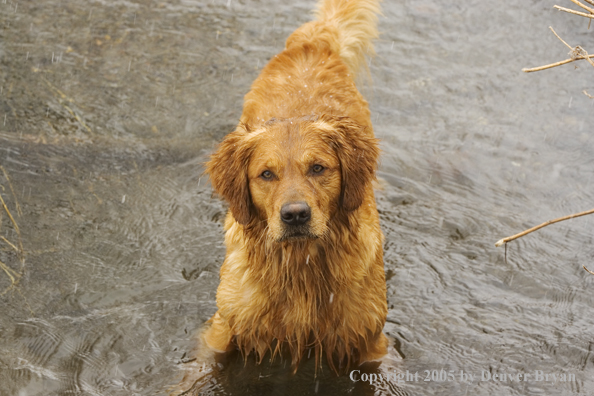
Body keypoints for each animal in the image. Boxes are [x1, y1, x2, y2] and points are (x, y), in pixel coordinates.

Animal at [173, 0, 386, 392]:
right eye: (266, 174)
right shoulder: (225, 325)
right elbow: (198, 369)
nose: (296, 215)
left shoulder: (369, 338)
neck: (300, 268)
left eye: (318, 168)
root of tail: (314, 43)